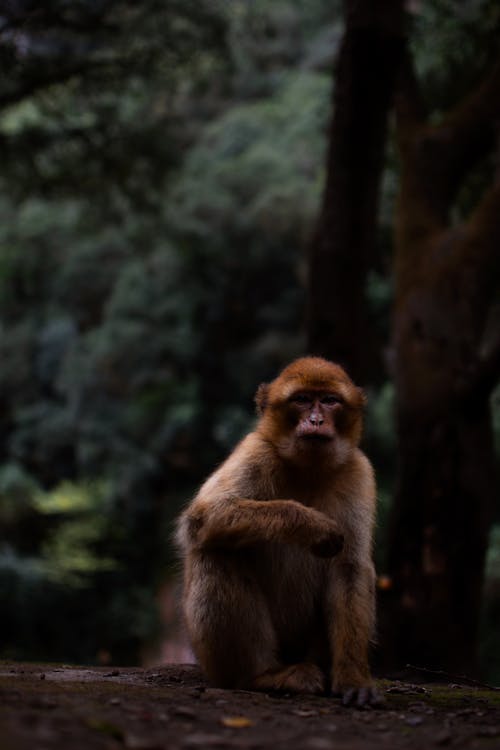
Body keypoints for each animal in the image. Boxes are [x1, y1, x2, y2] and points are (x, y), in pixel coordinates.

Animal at [174, 358, 380, 712]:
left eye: (330, 401)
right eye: (302, 400)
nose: (316, 420)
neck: (309, 470)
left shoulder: (358, 472)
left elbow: (349, 568)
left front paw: (353, 677)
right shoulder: (256, 450)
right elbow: (204, 517)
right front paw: (312, 525)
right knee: (215, 550)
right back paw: (262, 676)